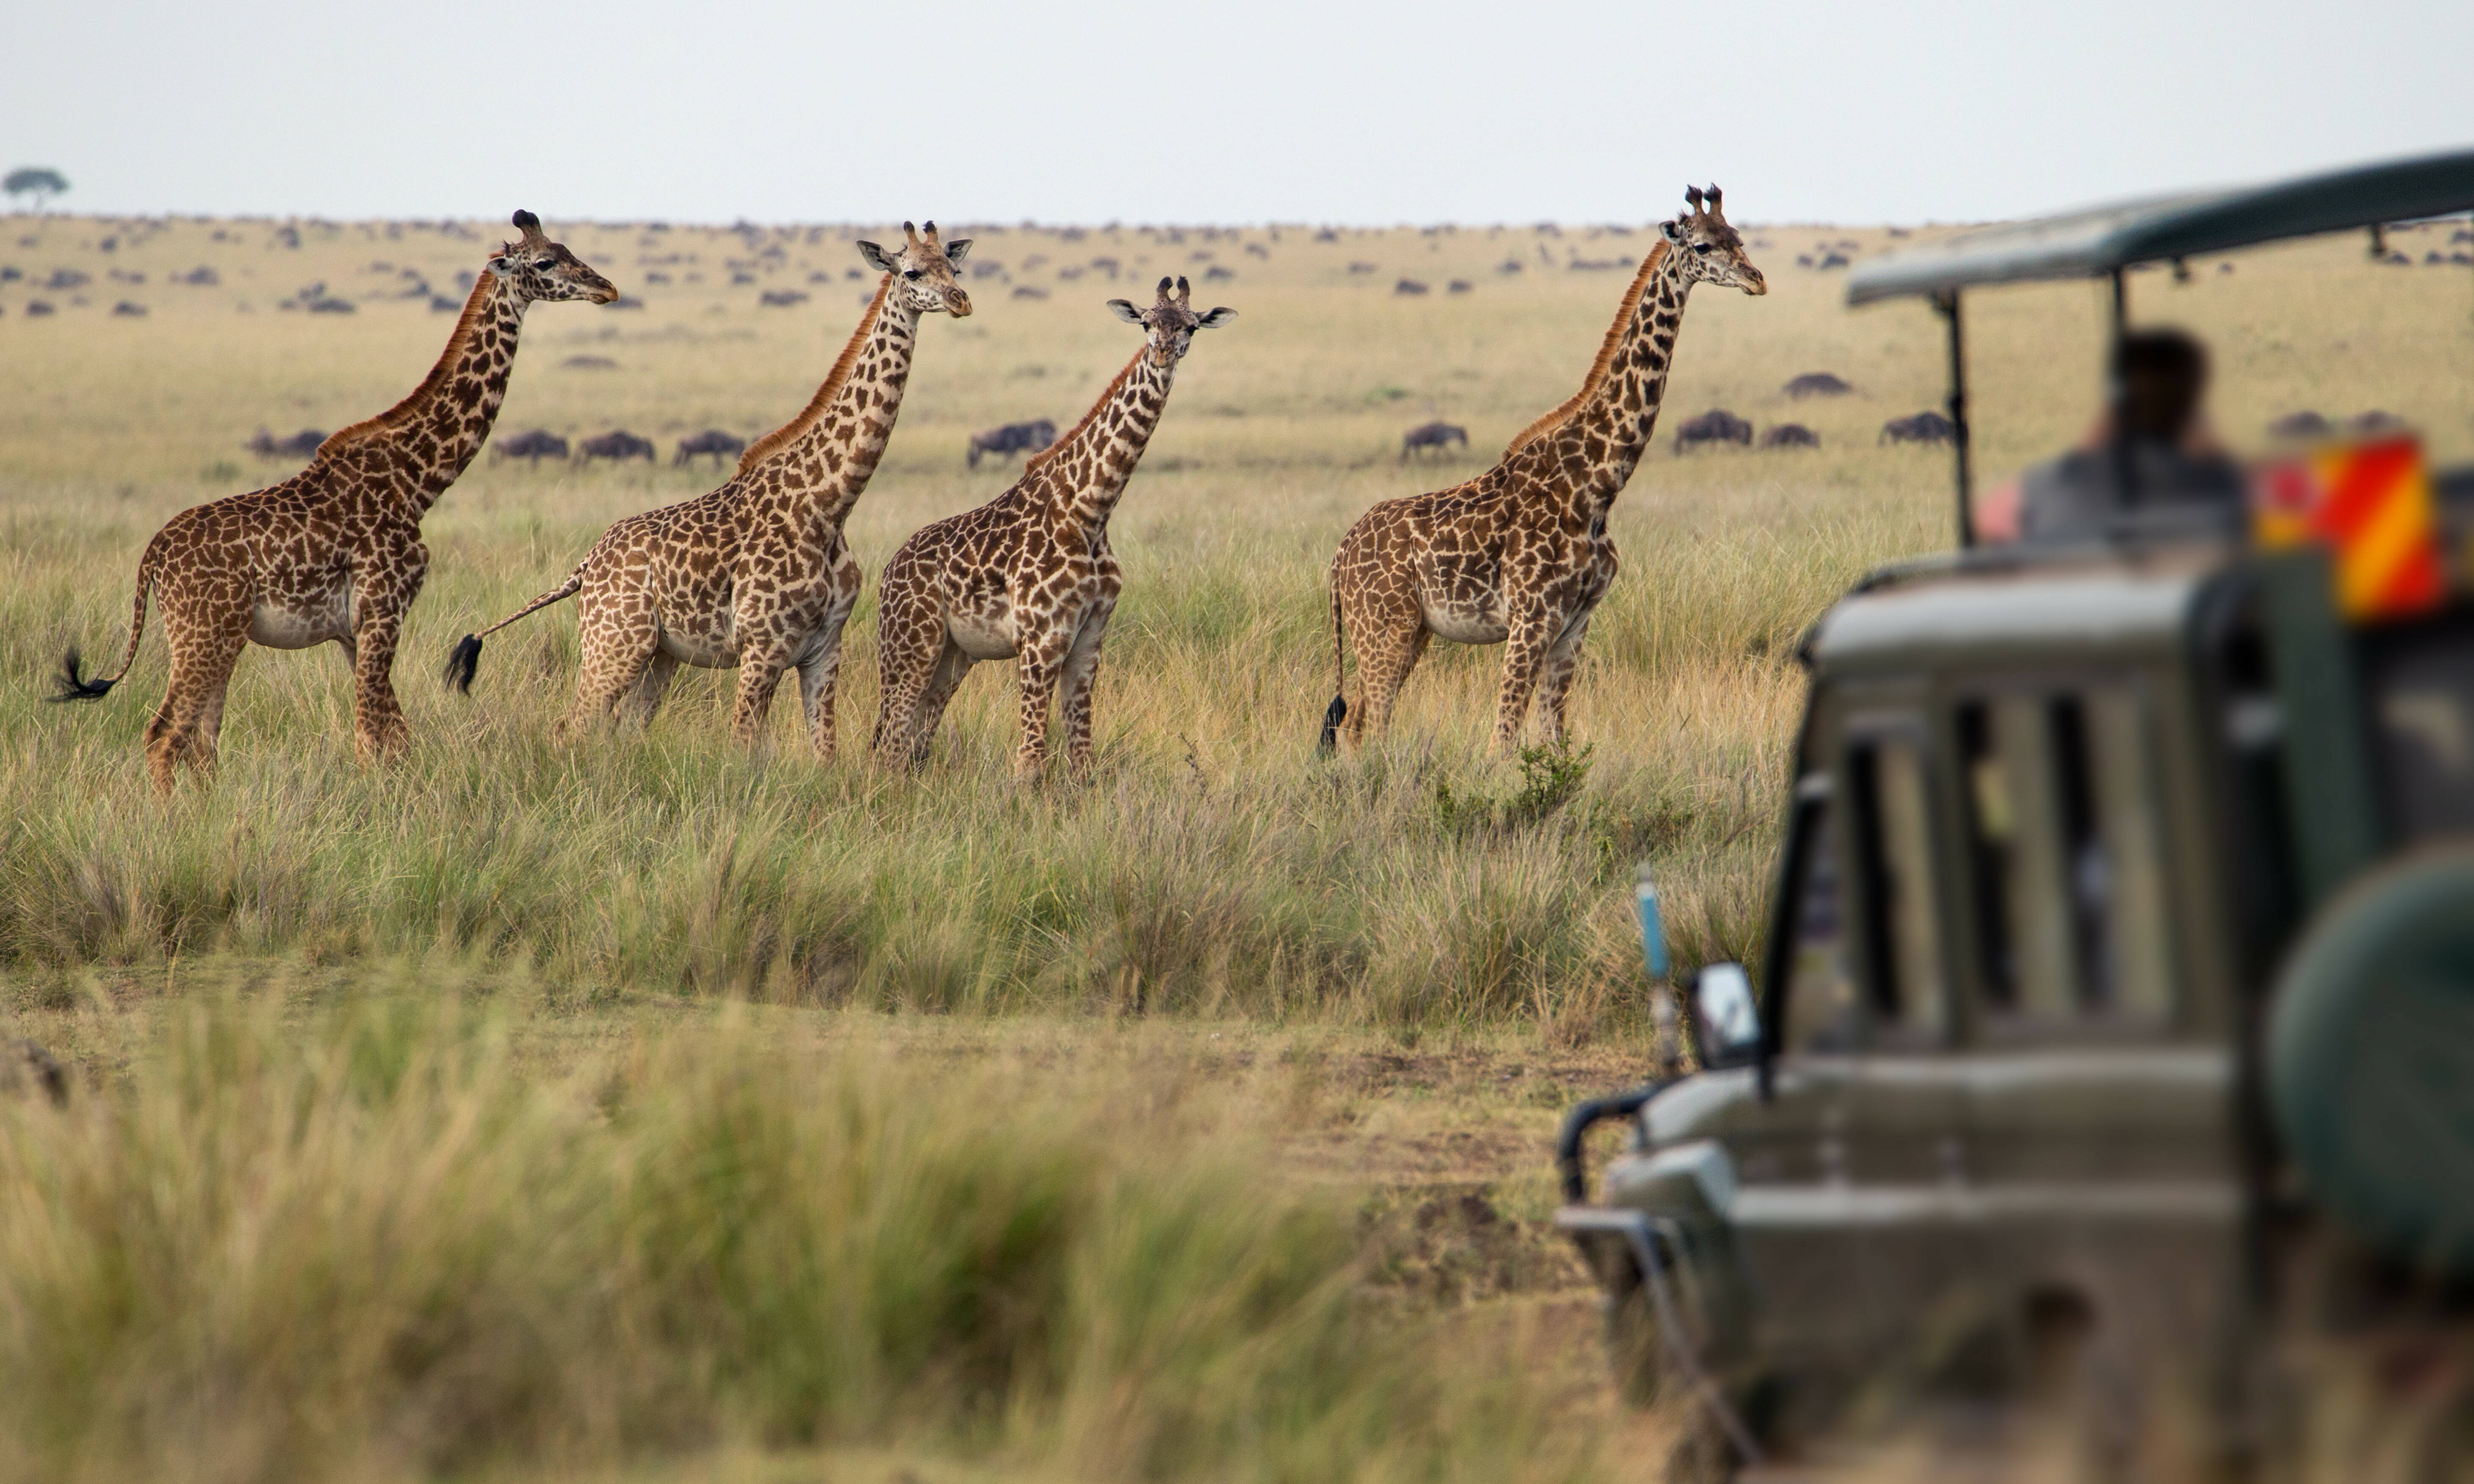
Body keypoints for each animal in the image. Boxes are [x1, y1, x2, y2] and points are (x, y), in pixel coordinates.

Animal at [50, 210, 616, 796]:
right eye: (545, 262)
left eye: (566, 251)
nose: (607, 288)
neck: (417, 481)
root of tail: (153, 557)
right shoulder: (384, 610)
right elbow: (374, 736)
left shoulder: (352, 631)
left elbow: (391, 735)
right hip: (204, 635)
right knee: (166, 734)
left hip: (219, 637)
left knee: (202, 741)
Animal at [450, 218, 970, 752]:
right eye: (911, 272)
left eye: (955, 269)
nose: (960, 301)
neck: (829, 504)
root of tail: (587, 565)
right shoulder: (762, 646)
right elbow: (745, 744)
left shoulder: (825, 647)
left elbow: (824, 749)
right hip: (614, 642)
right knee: (572, 725)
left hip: (659, 654)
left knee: (625, 727)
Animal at [871, 281, 1237, 786]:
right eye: (1146, 322)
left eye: (1191, 327)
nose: (1163, 352)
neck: (1091, 509)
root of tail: (889, 572)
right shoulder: (1041, 638)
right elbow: (1029, 763)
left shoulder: (1089, 639)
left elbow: (1081, 757)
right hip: (910, 644)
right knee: (889, 743)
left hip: (952, 654)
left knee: (914, 741)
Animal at [1326, 188, 1771, 752]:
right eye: (1702, 245)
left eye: (1738, 238)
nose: (1757, 279)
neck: (1597, 486)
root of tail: (1339, 557)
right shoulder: (1531, 619)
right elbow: (1503, 739)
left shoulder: (1575, 623)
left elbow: (1554, 738)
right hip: (1385, 627)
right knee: (1371, 726)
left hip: (1408, 631)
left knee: (1358, 724)